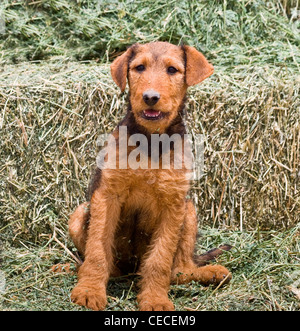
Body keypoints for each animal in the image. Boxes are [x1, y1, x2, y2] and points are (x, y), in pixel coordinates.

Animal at [68, 41, 232, 312]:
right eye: (139, 67)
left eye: (173, 70)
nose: (150, 97)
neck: (151, 140)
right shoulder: (107, 195)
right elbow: (97, 250)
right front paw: (89, 290)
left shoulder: (173, 204)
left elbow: (160, 259)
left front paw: (155, 299)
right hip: (80, 213)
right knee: (106, 264)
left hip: (189, 211)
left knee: (180, 269)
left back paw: (211, 273)